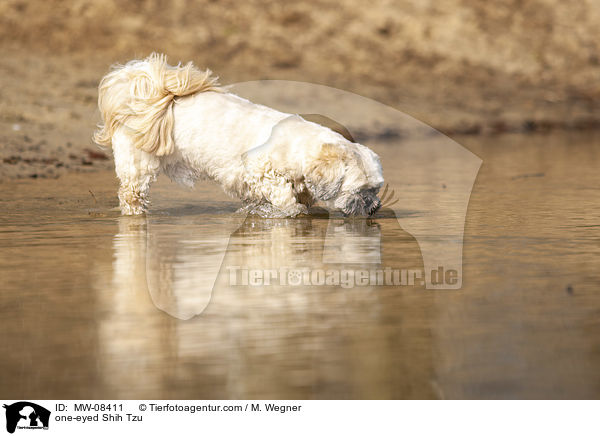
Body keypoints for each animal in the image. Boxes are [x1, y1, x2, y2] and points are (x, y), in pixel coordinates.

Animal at [94, 53, 384, 217]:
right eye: (361, 191)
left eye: (376, 189)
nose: (375, 207)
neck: (301, 147)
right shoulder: (259, 171)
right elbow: (284, 198)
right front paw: (290, 212)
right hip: (137, 164)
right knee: (131, 193)